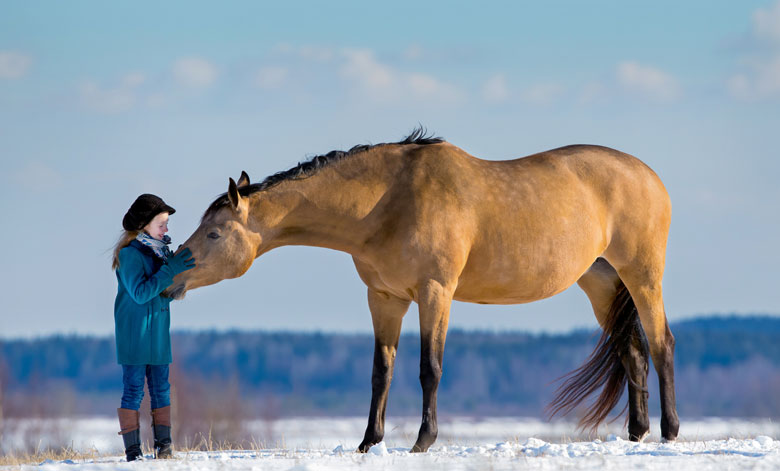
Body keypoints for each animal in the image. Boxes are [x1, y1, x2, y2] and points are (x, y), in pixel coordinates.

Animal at [165, 129, 676, 454]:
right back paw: (637, 433)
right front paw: (369, 441)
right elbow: (381, 372)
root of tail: (650, 175)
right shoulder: (384, 298)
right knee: (632, 352)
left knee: (661, 345)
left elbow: (429, 368)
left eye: (213, 233)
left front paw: (422, 440)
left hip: (643, 276)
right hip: (601, 282)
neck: (387, 201)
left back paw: (668, 431)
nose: (170, 278)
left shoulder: (435, 292)